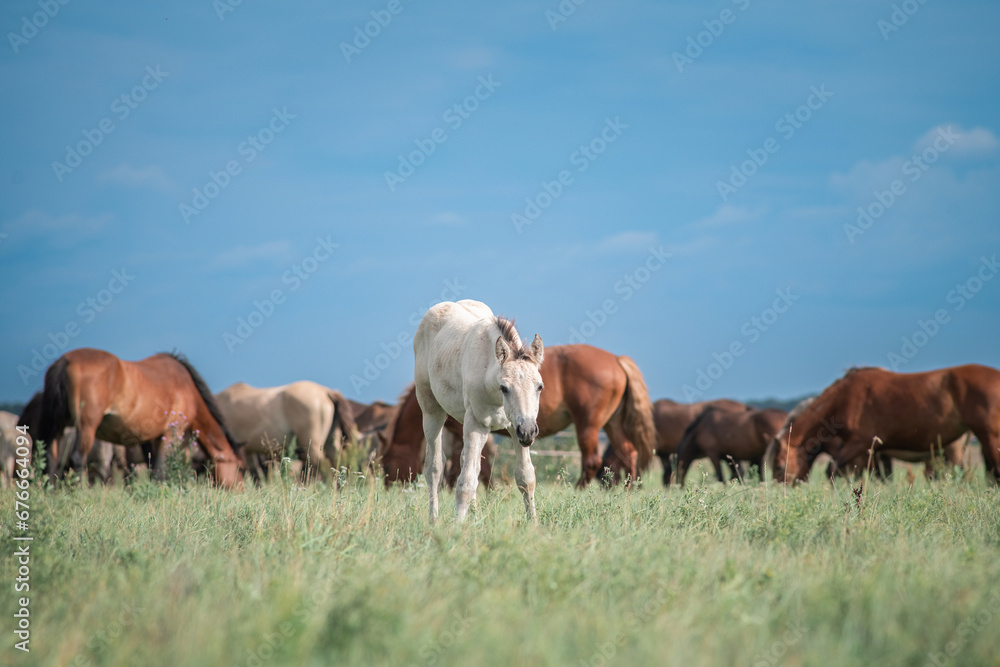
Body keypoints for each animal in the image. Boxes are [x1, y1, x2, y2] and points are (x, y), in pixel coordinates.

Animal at [39, 348, 246, 488]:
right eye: (240, 468)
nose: (241, 490)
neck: (188, 389)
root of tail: (65, 361)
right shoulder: (171, 432)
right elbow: (160, 469)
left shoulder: (148, 437)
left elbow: (151, 466)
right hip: (86, 426)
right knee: (77, 458)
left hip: (58, 425)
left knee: (51, 457)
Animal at [216, 380, 360, 486]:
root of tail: (327, 392)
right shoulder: (248, 450)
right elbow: (256, 473)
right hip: (330, 442)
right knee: (337, 463)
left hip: (312, 445)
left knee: (323, 465)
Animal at [380, 344, 656, 490]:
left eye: (387, 464)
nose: (390, 488)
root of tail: (617, 359)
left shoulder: (463, 429)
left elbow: (469, 463)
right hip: (612, 424)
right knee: (628, 452)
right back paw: (629, 489)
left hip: (588, 425)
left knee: (591, 461)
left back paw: (578, 490)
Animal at [412, 300, 544, 524]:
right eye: (504, 388)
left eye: (539, 386)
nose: (528, 430)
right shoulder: (476, 424)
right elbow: (465, 482)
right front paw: (456, 527)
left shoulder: (514, 427)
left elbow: (526, 477)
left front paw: (533, 524)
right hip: (431, 411)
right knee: (434, 468)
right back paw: (434, 520)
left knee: (467, 462)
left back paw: (473, 516)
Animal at [772, 366, 1000, 486]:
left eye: (780, 466)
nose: (784, 490)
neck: (845, 398)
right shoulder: (873, 452)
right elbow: (879, 477)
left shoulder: (860, 443)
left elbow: (833, 469)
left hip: (982, 438)